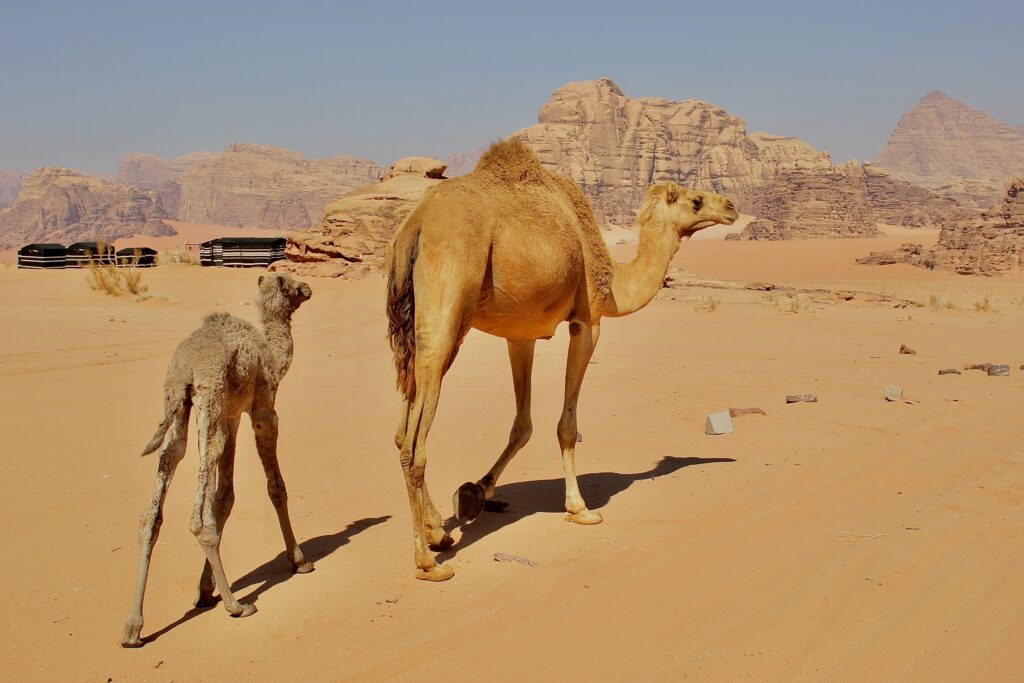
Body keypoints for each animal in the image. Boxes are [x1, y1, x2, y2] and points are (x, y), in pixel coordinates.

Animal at [121, 273, 314, 647]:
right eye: (292, 283)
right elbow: (275, 487)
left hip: (180, 407)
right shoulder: (263, 408)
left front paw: (205, 589)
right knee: (198, 518)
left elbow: (225, 497)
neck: (271, 357)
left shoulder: (232, 415)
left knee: (159, 492)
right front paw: (299, 560)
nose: (309, 288)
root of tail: (185, 369)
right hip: (208, 400)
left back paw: (133, 627)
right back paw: (237, 605)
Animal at [386, 140, 739, 581]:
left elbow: (522, 425)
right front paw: (580, 508)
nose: (731, 206)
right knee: (414, 446)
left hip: (411, 335)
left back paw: (438, 531)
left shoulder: (521, 333)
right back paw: (427, 562)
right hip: (447, 311)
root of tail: (414, 228)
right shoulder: (587, 321)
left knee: (402, 427)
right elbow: (566, 426)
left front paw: (473, 493)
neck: (614, 278)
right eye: (696, 200)